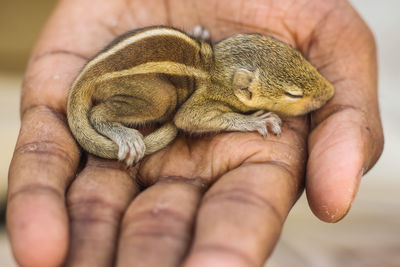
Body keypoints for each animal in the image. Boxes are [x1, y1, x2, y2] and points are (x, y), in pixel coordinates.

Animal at [66, 25, 334, 168]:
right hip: (160, 96)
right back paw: (127, 137)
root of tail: (86, 75)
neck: (214, 65)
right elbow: (186, 119)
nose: (331, 92)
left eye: (298, 56)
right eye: (293, 94)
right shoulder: (201, 101)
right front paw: (256, 121)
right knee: (97, 113)